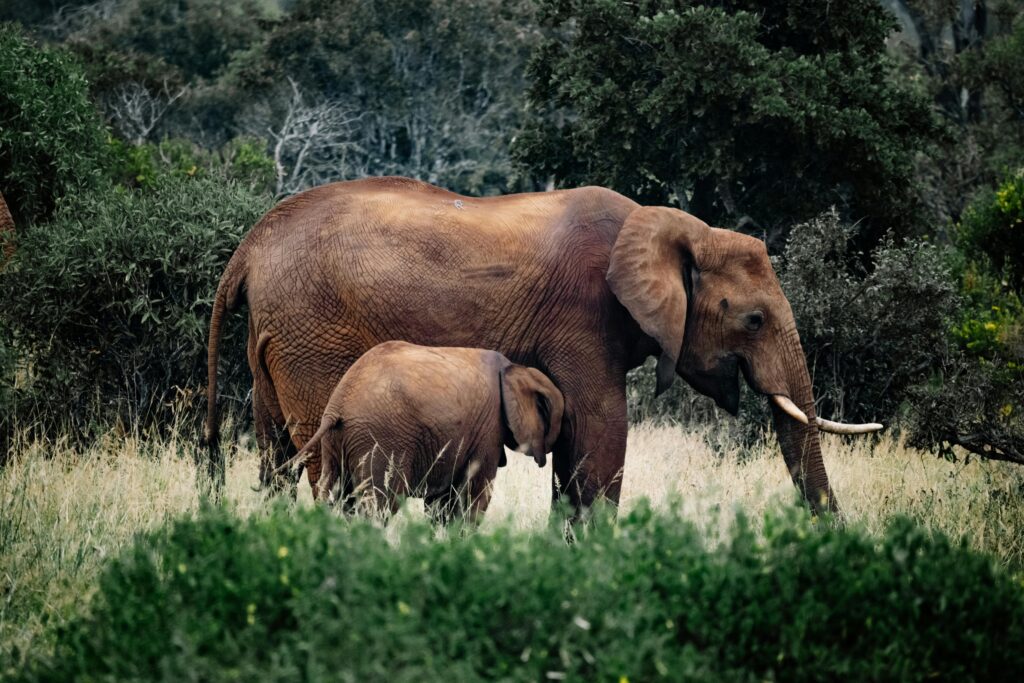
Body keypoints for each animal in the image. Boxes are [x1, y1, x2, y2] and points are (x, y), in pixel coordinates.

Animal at [274, 341, 563, 523]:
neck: (514, 369)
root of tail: (337, 404)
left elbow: (442, 502)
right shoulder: (487, 429)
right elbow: (473, 496)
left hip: (337, 442)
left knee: (332, 494)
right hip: (381, 439)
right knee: (378, 505)